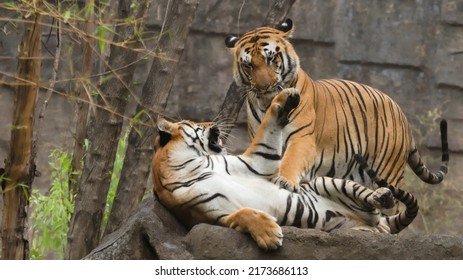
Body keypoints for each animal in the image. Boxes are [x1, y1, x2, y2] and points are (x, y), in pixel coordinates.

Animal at [153, 88, 420, 249]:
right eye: (194, 122)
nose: (214, 122)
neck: (195, 163)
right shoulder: (210, 216)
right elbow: (244, 213)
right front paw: (270, 235)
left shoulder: (256, 162)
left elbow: (267, 128)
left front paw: (285, 98)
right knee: (375, 224)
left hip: (324, 181)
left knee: (374, 201)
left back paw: (383, 196)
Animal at [225, 17, 450, 195]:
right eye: (249, 65)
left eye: (271, 58)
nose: (265, 87)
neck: (268, 103)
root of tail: (402, 113)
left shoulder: (302, 137)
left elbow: (291, 159)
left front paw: (285, 181)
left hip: (387, 170)